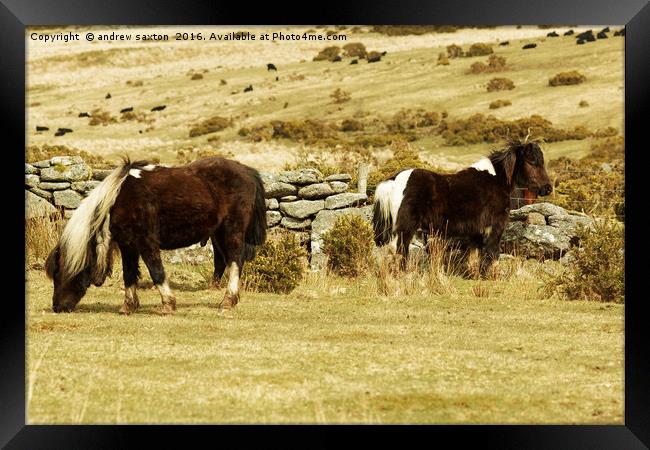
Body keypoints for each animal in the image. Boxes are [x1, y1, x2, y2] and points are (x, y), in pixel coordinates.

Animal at [45, 156, 266, 314]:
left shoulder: (146, 242)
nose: (57, 307)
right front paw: (128, 306)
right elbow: (129, 274)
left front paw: (168, 304)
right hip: (218, 234)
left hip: (232, 230)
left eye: (57, 272)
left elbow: (156, 271)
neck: (117, 199)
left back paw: (227, 302)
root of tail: (246, 171)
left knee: (235, 261)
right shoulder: (128, 245)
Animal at [372, 139, 548, 276]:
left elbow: (474, 255)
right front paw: (493, 276)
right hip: (405, 229)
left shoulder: (476, 232)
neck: (495, 180)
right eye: (532, 162)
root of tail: (395, 180)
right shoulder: (495, 227)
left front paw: (474, 274)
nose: (547, 189)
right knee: (398, 250)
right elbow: (493, 253)